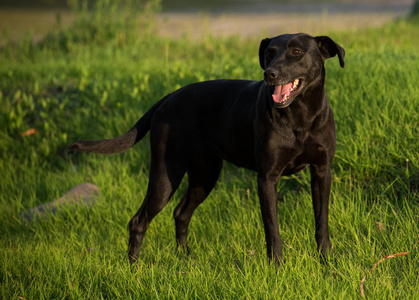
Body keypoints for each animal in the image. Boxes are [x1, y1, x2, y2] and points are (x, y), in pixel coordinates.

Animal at [68, 32, 344, 264]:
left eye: (297, 52)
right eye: (269, 52)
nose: (270, 74)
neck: (300, 117)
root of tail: (168, 97)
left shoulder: (322, 172)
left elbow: (322, 222)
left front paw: (327, 260)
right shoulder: (267, 178)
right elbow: (272, 228)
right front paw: (277, 266)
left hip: (204, 175)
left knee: (180, 213)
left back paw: (185, 258)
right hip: (165, 176)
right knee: (139, 221)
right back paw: (133, 268)